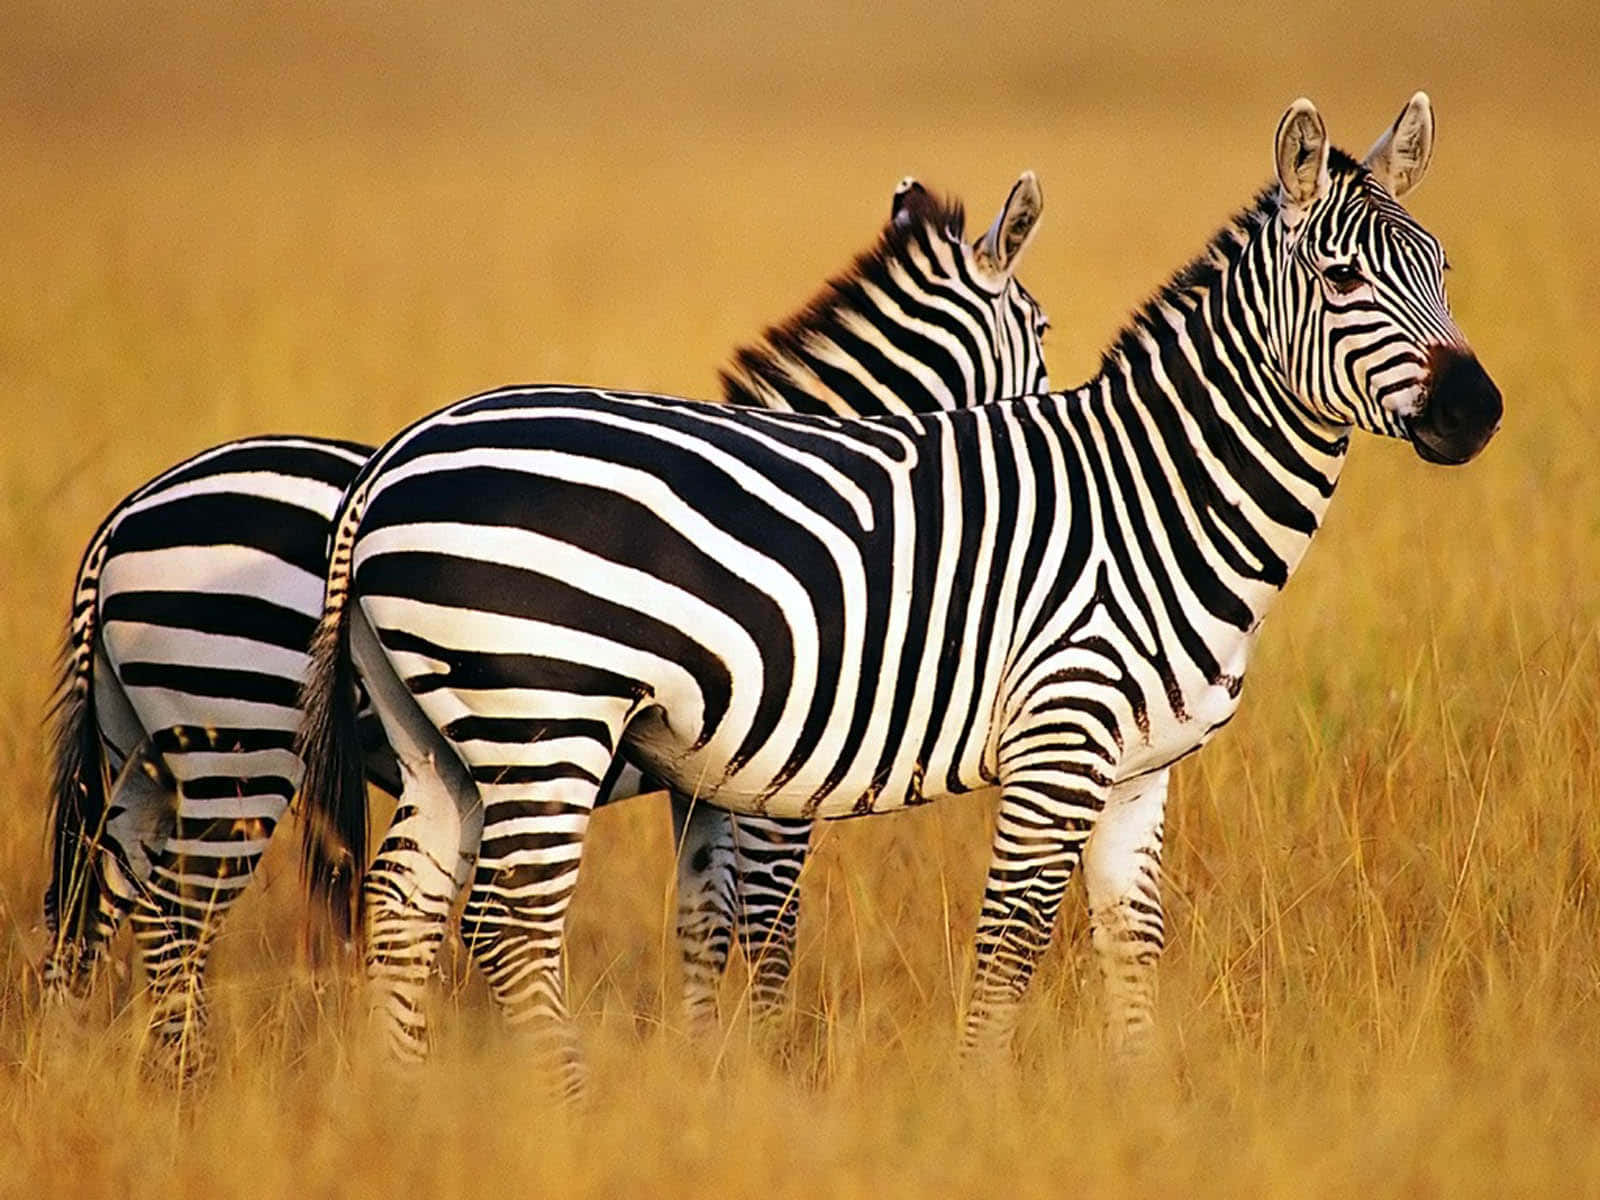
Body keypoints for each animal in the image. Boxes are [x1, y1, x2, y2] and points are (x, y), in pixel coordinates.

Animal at [40, 173, 1050, 1075]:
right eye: (1041, 331)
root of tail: (123, 520)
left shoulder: (705, 783)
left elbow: (702, 922)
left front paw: (704, 1064)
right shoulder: (770, 774)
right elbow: (766, 923)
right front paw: (765, 1063)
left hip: (144, 754)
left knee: (89, 906)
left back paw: (77, 1075)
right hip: (240, 738)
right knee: (176, 918)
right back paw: (184, 1081)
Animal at [296, 93, 1501, 1097]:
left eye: (1442, 266)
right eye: (1341, 281)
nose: (1478, 410)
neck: (1151, 497)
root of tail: (395, 456)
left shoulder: (1137, 773)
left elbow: (1132, 945)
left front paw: (1141, 1107)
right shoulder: (1042, 746)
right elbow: (999, 943)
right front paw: (968, 1110)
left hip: (442, 735)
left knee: (404, 906)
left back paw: (403, 1101)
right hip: (543, 714)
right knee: (510, 924)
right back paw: (572, 1109)